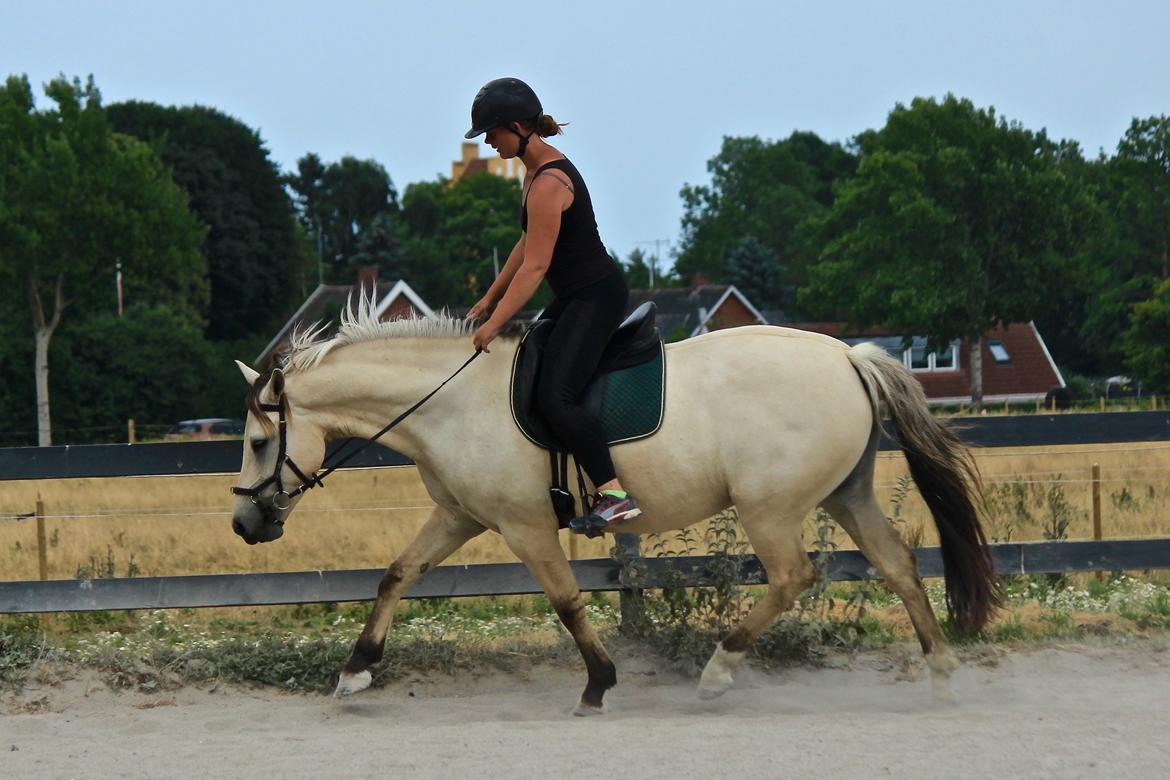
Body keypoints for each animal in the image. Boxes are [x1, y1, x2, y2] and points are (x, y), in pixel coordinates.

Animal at [228, 301, 996, 715]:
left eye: (261, 442)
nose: (244, 524)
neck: (449, 401)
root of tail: (848, 358)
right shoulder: (460, 517)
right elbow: (397, 573)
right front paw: (356, 670)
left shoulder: (525, 526)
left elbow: (567, 602)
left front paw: (598, 684)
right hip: (847, 493)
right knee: (898, 566)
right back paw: (941, 675)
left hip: (770, 509)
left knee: (792, 577)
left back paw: (718, 673)